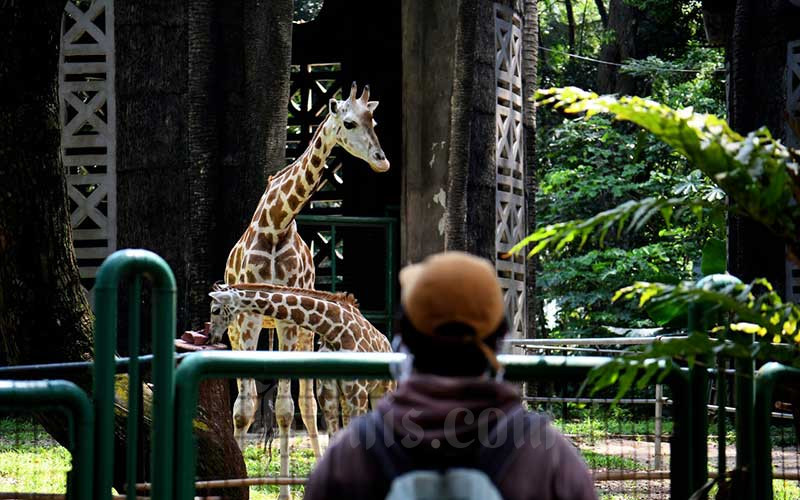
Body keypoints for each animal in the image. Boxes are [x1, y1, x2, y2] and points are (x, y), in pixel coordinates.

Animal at [206, 284, 394, 494]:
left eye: (215, 310)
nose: (211, 336)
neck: (334, 329)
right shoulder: (328, 394)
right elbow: (335, 437)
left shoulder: (358, 393)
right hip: (347, 398)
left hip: (381, 390)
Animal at [223, 81, 390, 492]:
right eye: (349, 122)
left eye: (374, 120)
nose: (382, 161)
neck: (275, 223)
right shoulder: (247, 320)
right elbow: (243, 408)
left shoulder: (288, 321)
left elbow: (286, 409)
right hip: (240, 331)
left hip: (305, 334)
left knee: (308, 405)